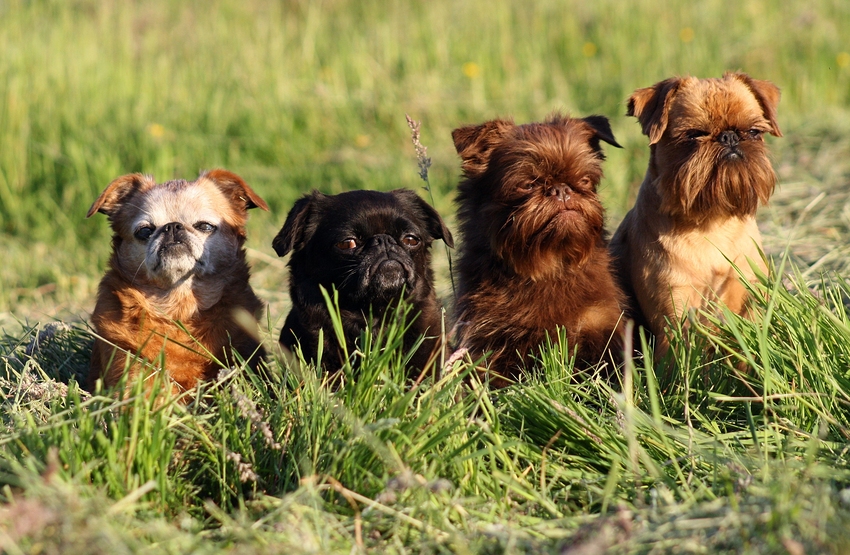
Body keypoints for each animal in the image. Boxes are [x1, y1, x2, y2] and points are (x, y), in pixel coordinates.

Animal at [454, 115, 628, 384]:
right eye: (527, 184)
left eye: (584, 181)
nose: (562, 189)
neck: (549, 269)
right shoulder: (489, 338)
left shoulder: (600, 328)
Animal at [608, 71, 780, 354]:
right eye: (694, 135)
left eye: (754, 132)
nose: (730, 137)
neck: (712, 222)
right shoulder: (674, 309)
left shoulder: (748, 295)